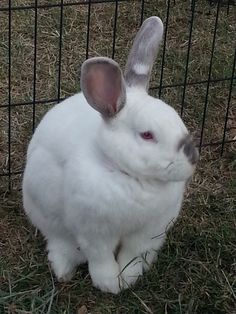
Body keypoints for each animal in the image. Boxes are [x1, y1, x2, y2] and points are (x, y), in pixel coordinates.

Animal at [22, 15, 199, 294]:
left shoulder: (150, 231)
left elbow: (134, 255)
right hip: (45, 212)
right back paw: (63, 270)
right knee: (59, 241)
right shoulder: (94, 232)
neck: (130, 176)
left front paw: (128, 279)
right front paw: (109, 285)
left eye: (178, 122)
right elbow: (100, 258)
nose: (193, 159)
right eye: (147, 135)